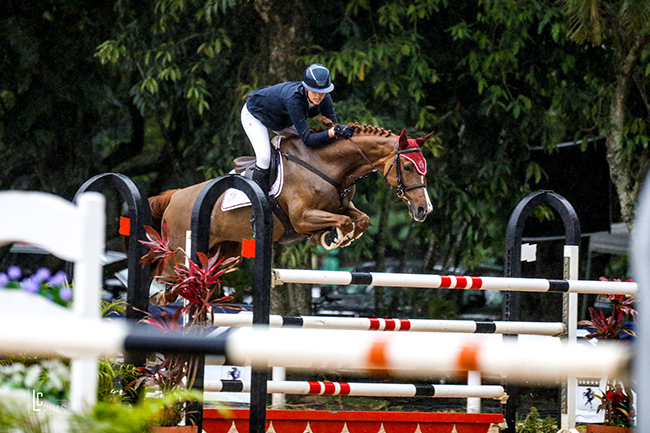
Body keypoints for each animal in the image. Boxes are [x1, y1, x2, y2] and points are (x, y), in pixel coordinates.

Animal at [149, 122, 432, 266]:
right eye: (408, 167)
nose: (424, 209)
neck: (326, 165)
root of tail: (175, 196)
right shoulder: (301, 217)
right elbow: (344, 222)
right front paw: (333, 238)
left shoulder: (342, 205)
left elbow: (361, 219)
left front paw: (335, 237)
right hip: (179, 253)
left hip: (224, 251)